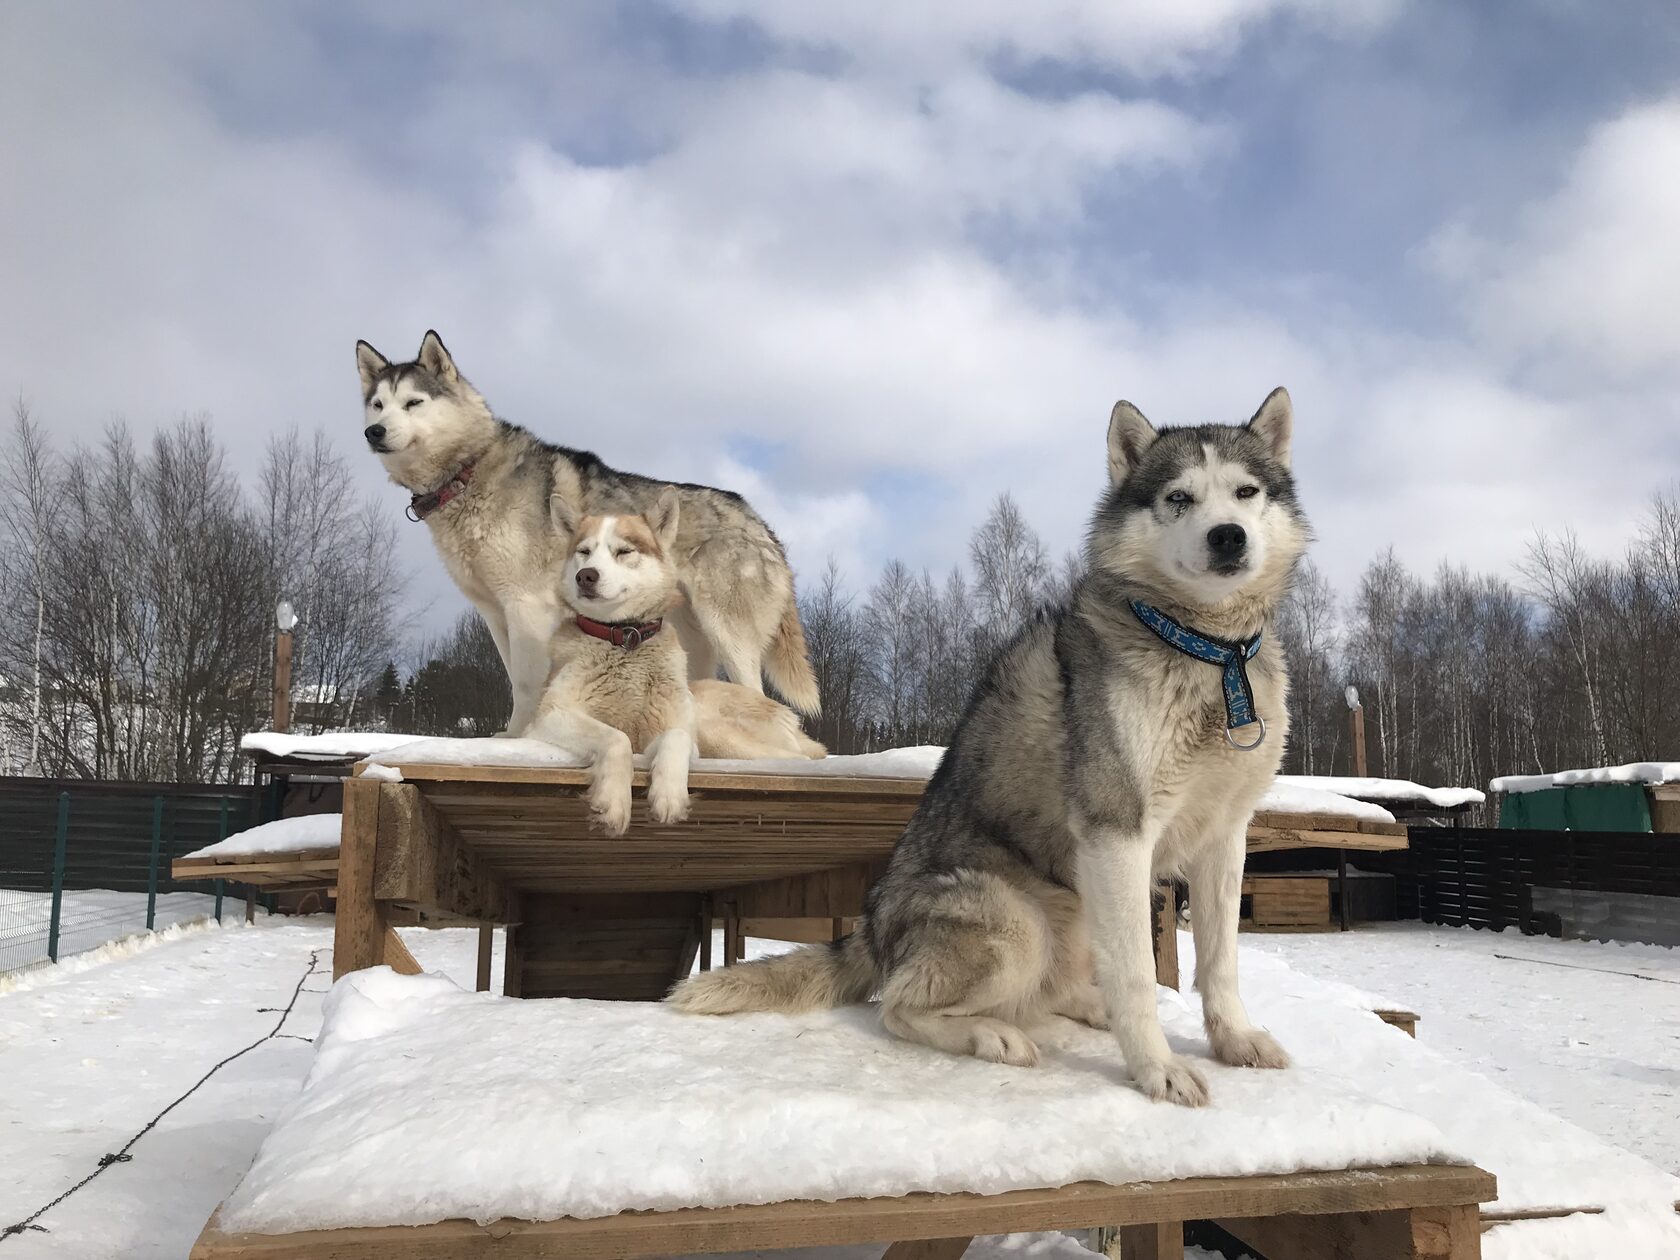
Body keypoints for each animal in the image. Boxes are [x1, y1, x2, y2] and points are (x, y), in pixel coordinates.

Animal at [357, 330, 823, 735]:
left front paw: (517, 740)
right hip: (693, 641)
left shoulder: (527, 606)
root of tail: (760, 523)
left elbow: (526, 684)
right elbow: (513, 679)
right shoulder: (494, 613)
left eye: (413, 402)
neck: (466, 471)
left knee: (755, 690)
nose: (373, 432)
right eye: (378, 405)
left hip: (729, 634)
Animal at [534, 493, 823, 840]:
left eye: (624, 551)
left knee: (797, 757)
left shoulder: (678, 730)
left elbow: (676, 738)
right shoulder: (549, 716)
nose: (586, 576)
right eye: (584, 551)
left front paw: (669, 797)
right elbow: (617, 738)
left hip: (715, 726)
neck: (625, 639)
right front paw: (614, 803)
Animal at [672, 389, 1310, 1108]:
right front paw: (1156, 1068)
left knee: (1054, 987)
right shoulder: (1117, 832)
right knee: (899, 1006)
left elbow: (1221, 962)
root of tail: (871, 927)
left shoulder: (1224, 836)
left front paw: (1235, 1040)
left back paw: (1085, 1006)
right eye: (1179, 498)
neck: (1205, 653)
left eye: (1246, 492)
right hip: (1020, 921)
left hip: (1077, 907)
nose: (1228, 535)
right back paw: (993, 1035)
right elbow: (1139, 979)